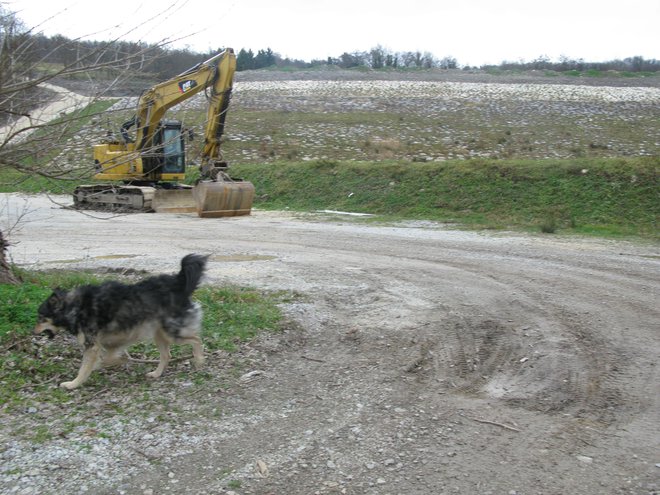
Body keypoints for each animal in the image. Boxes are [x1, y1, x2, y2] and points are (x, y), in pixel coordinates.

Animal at [34, 254, 209, 390]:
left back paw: (199, 361)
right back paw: (156, 373)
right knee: (167, 355)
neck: (74, 306)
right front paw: (120, 360)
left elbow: (86, 367)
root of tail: (178, 283)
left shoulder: (92, 346)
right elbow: (111, 356)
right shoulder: (113, 341)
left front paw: (73, 384)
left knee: (197, 339)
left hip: (172, 332)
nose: (33, 332)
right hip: (159, 334)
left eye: (40, 318)